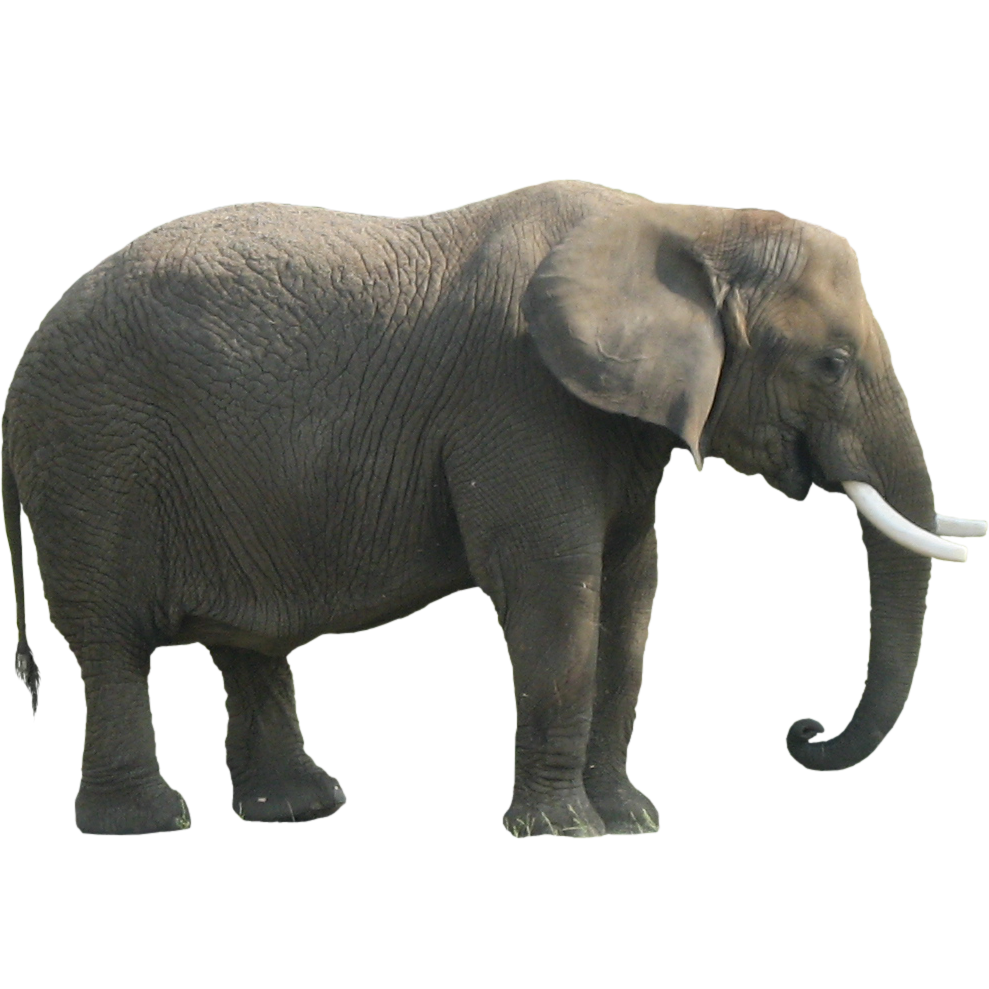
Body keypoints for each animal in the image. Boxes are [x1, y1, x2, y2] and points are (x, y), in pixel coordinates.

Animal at [4, 179, 984, 837]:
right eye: (829, 364)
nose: (801, 730)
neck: (686, 223)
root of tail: (14, 390)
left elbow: (631, 594)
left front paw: (629, 822)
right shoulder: (516, 401)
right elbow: (555, 589)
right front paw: (569, 831)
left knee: (245, 643)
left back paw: (299, 807)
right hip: (93, 460)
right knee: (110, 644)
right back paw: (147, 822)